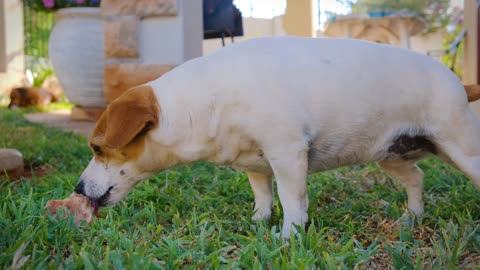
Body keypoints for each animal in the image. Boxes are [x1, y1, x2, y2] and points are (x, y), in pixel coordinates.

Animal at [73, 37, 480, 237]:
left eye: (97, 148)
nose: (77, 188)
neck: (207, 99)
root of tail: (458, 82)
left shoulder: (287, 154)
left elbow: (291, 200)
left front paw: (289, 236)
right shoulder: (255, 165)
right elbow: (263, 198)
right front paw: (258, 223)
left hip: (461, 149)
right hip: (391, 156)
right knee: (417, 178)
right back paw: (412, 217)